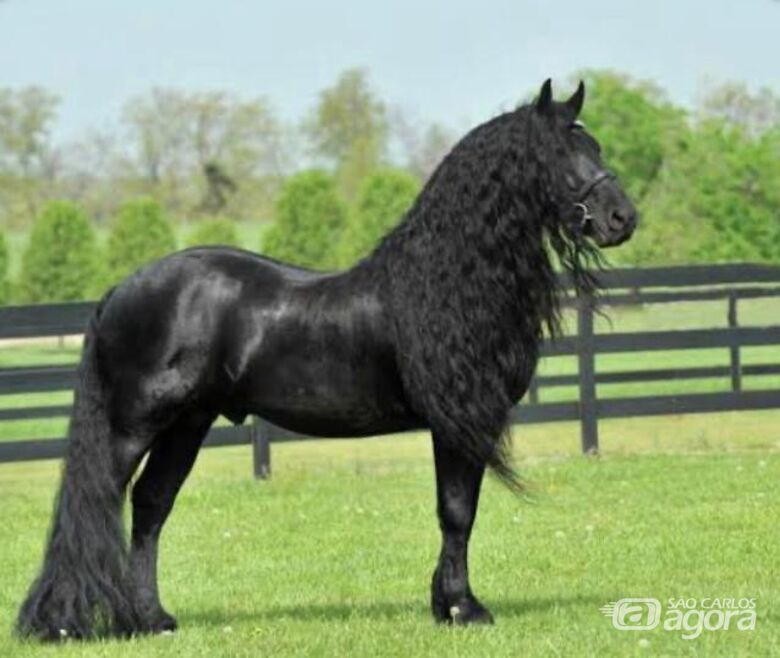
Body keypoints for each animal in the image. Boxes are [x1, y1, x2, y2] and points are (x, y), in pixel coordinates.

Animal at [17, 79, 637, 641]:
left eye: (597, 147)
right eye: (558, 153)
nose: (621, 219)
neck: (443, 284)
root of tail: (119, 290)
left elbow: (458, 513)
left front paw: (445, 604)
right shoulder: (457, 425)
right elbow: (457, 511)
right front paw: (464, 609)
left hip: (187, 423)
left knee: (150, 505)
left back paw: (153, 620)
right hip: (134, 424)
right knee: (96, 502)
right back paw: (70, 621)